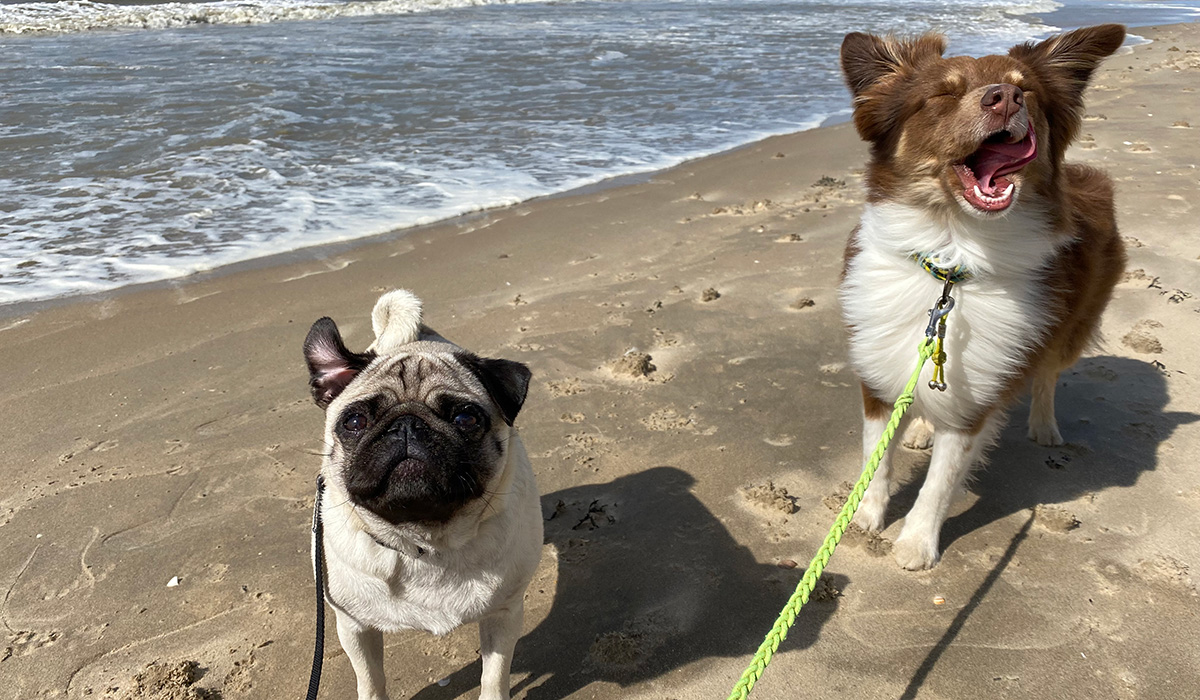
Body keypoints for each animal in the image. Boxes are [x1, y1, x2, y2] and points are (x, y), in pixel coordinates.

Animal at [840, 25, 1128, 569]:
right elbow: (874, 456)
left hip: (1069, 329)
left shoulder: (980, 395)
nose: (1006, 98)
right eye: (943, 94)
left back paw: (1044, 426)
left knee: (1047, 376)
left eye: (1027, 91)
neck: (952, 259)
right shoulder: (877, 372)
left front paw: (916, 543)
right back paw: (920, 429)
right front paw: (863, 516)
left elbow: (941, 481)